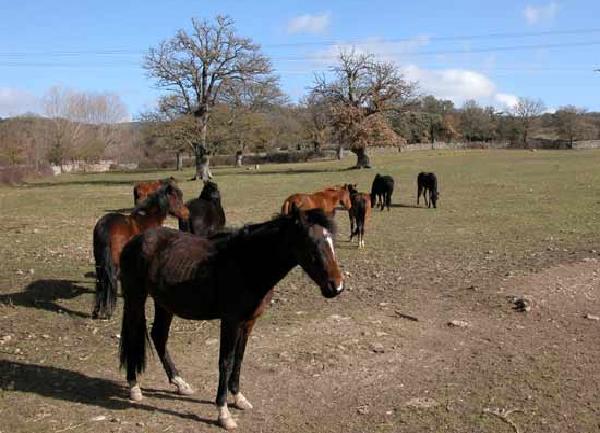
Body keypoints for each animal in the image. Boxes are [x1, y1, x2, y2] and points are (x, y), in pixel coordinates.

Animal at [92, 181, 188, 318]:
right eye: (176, 198)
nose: (187, 214)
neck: (147, 220)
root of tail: (105, 225)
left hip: (99, 261)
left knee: (100, 281)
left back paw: (97, 311)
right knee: (111, 279)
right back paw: (108, 311)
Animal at [119, 208, 344, 430]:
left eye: (331, 241)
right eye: (311, 243)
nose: (336, 286)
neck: (245, 264)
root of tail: (135, 241)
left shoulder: (248, 322)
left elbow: (239, 357)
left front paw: (238, 398)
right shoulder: (230, 322)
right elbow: (225, 361)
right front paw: (224, 413)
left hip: (164, 304)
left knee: (159, 336)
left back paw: (180, 383)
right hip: (135, 298)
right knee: (133, 335)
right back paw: (134, 387)